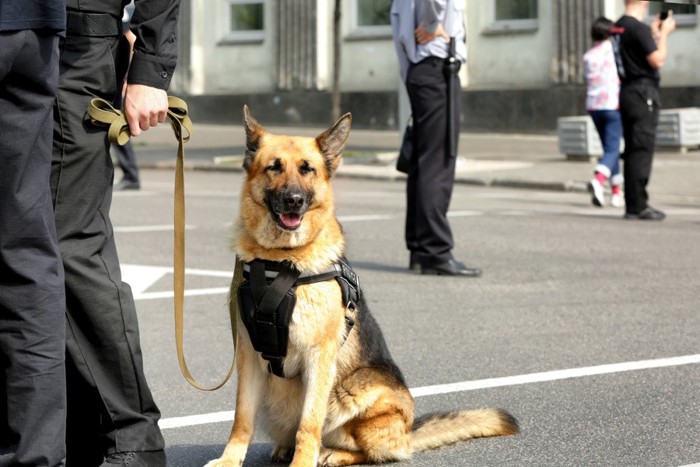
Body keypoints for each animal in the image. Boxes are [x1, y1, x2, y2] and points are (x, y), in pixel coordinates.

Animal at [205, 107, 516, 467]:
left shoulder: (318, 356)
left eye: (307, 169)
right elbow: (242, 418)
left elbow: (308, 425)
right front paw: (229, 460)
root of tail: (408, 432)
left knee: (369, 450)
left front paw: (303, 461)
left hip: (359, 392)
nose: (294, 201)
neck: (280, 261)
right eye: (274, 167)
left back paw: (330, 453)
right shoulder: (249, 357)